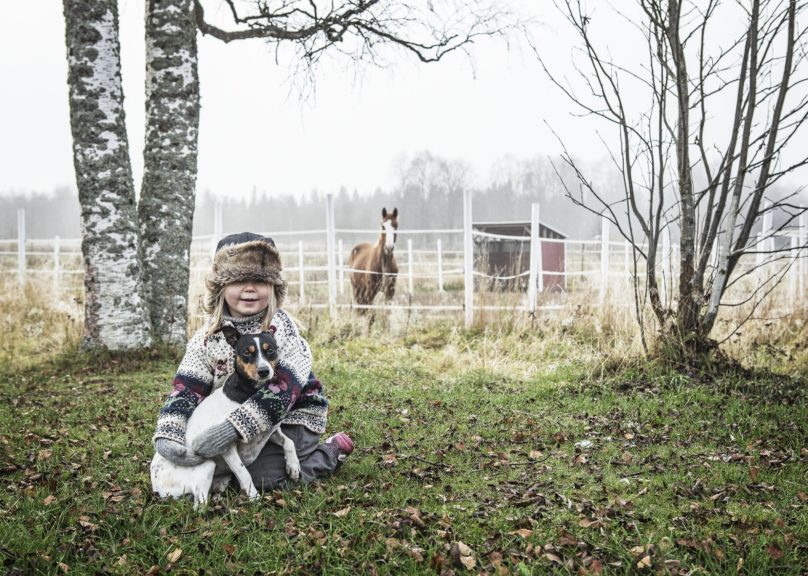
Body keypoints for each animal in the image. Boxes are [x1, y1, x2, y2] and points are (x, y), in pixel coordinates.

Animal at [149, 326, 300, 506]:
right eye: (247, 352)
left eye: (270, 350)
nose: (264, 371)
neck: (250, 391)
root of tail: (156, 485)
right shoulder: (226, 448)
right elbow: (244, 473)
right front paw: (254, 498)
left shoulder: (271, 430)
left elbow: (289, 442)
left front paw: (293, 466)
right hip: (206, 465)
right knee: (199, 504)